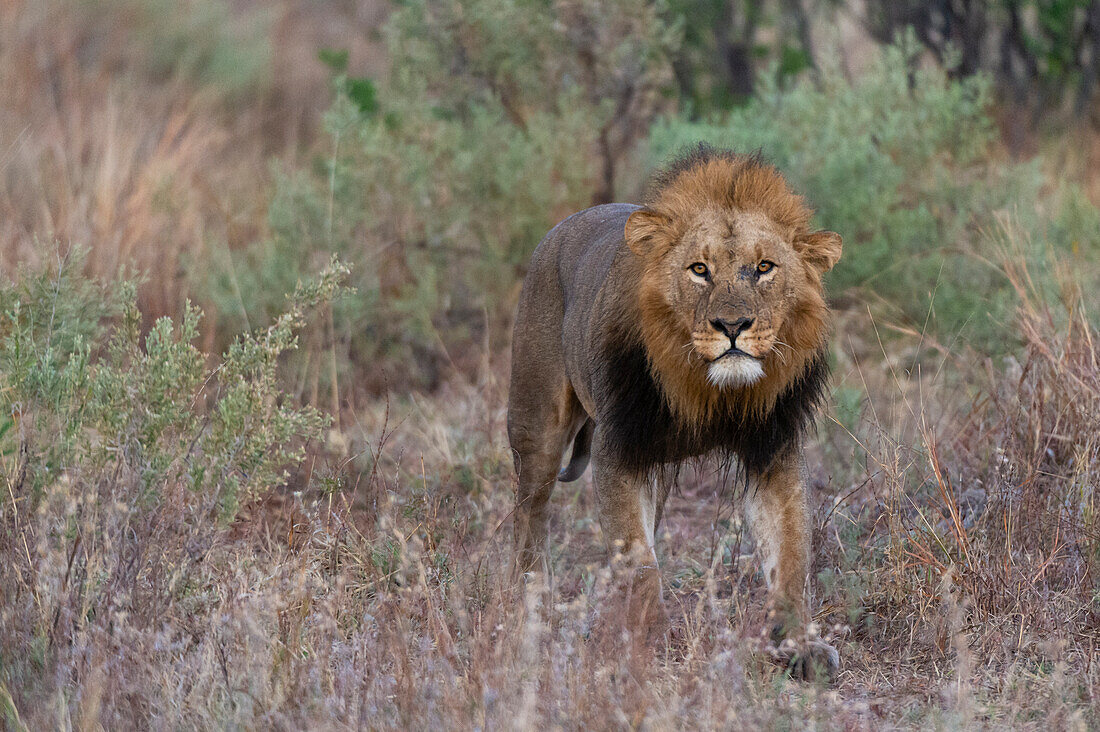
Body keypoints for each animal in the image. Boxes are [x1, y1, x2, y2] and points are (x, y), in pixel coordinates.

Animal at [506, 143, 840, 678]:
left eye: (765, 267)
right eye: (699, 269)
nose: (733, 325)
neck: (710, 391)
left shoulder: (773, 449)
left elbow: (790, 555)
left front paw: (799, 646)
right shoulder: (619, 448)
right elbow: (639, 559)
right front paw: (649, 643)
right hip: (535, 426)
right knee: (529, 518)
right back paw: (530, 608)